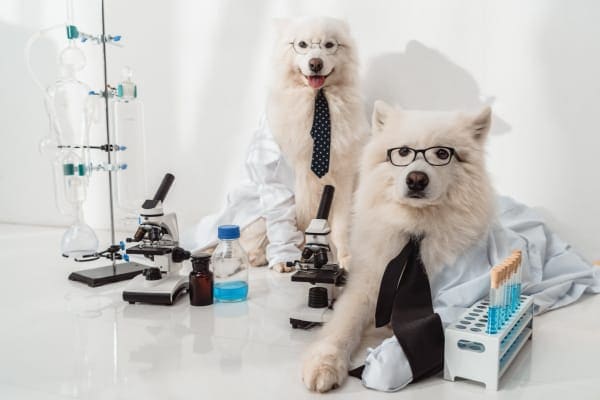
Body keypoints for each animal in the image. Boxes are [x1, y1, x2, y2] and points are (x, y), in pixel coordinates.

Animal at [302, 101, 494, 392]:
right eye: (403, 152)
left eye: (442, 153)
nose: (416, 179)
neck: (414, 230)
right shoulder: (365, 287)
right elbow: (342, 327)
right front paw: (324, 362)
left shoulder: (455, 295)